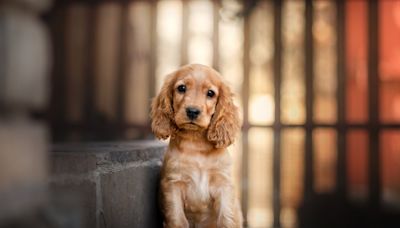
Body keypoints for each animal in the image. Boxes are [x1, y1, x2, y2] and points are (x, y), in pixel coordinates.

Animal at [151, 63, 242, 227]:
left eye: (210, 93)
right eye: (181, 88)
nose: (192, 111)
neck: (196, 144)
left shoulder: (224, 185)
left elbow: (227, 218)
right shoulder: (173, 185)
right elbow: (178, 220)